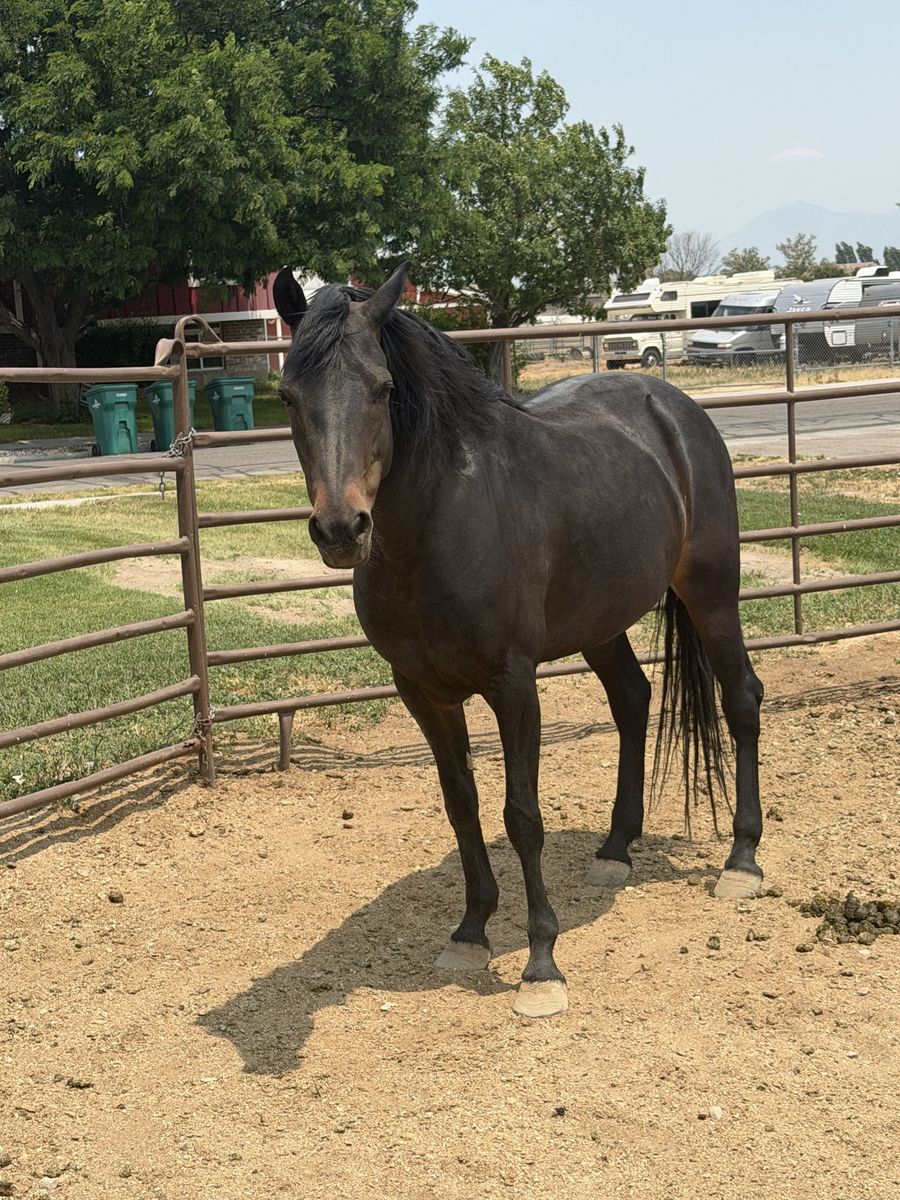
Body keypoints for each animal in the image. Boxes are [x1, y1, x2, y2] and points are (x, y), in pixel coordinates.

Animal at [272, 263, 764, 1018]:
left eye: (383, 388)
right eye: (288, 394)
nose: (340, 529)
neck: (440, 524)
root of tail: (675, 407)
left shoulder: (512, 685)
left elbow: (521, 815)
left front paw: (541, 963)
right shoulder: (422, 691)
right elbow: (462, 805)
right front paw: (471, 931)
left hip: (712, 594)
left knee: (741, 699)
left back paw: (741, 862)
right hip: (601, 621)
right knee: (633, 700)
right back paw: (615, 851)